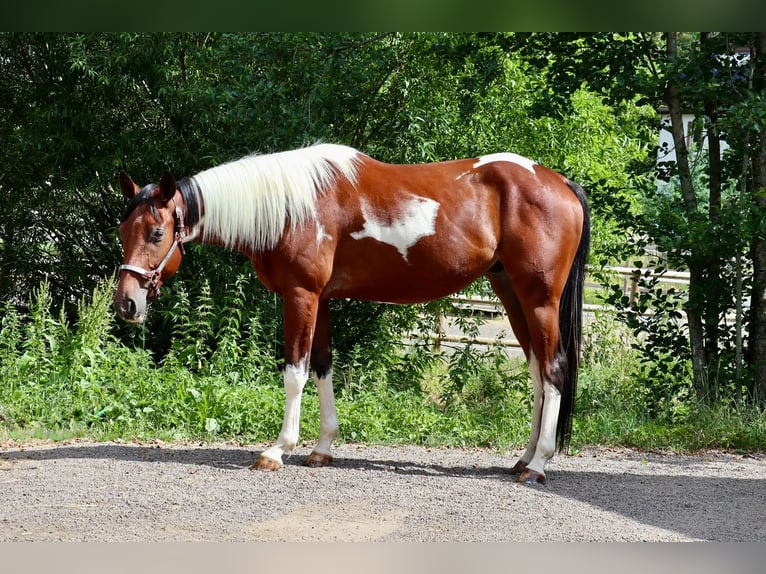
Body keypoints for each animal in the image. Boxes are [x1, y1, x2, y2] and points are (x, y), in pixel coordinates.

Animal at [114, 143, 590, 484]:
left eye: (156, 232)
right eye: (123, 230)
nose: (126, 304)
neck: (292, 206)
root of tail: (560, 182)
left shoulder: (300, 296)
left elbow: (295, 372)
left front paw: (277, 450)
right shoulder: (320, 300)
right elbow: (323, 368)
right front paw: (322, 447)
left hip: (540, 299)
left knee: (554, 368)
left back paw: (539, 464)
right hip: (511, 293)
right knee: (536, 372)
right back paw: (524, 457)